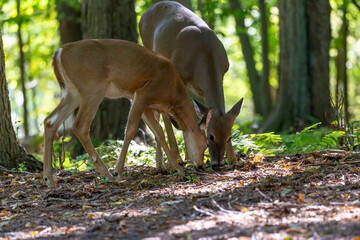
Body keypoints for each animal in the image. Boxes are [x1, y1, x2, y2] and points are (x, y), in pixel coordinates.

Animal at [43, 38, 210, 187]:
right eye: (205, 144)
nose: (201, 165)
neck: (172, 93)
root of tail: (58, 53)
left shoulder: (146, 105)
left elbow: (158, 131)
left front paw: (177, 168)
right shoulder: (143, 93)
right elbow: (131, 129)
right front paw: (118, 172)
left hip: (72, 93)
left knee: (50, 121)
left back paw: (48, 179)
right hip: (92, 88)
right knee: (79, 126)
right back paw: (107, 174)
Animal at [139, 0, 243, 168]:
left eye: (229, 137)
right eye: (211, 136)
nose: (217, 163)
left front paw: (233, 158)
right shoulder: (180, 76)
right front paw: (187, 158)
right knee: (162, 113)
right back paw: (169, 161)